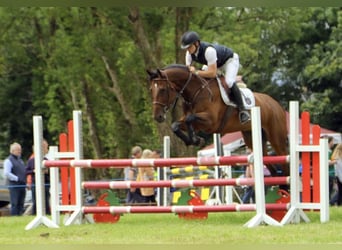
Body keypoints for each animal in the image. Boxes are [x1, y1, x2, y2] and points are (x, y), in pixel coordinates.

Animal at [147, 65, 288, 178]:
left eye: (162, 89)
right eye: (151, 90)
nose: (158, 116)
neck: (196, 92)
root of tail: (276, 104)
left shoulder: (211, 122)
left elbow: (189, 119)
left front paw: (196, 140)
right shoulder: (196, 124)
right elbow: (176, 125)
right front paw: (195, 140)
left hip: (276, 138)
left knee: (284, 160)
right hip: (251, 137)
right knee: (269, 164)